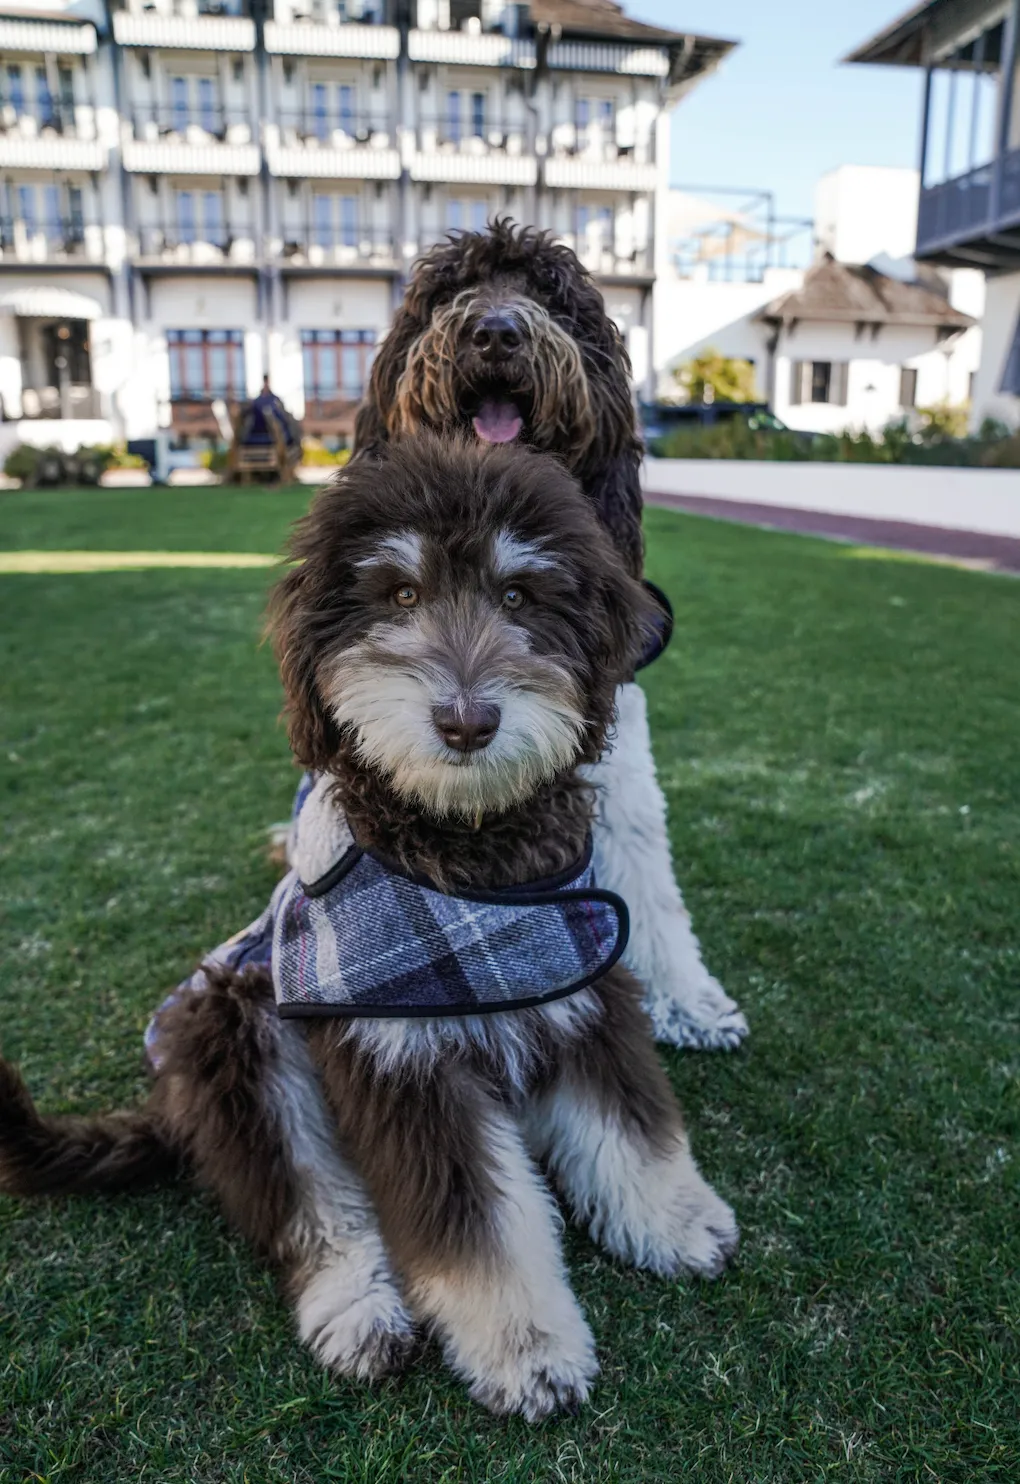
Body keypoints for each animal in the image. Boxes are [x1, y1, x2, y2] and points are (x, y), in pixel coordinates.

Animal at [0, 433, 739, 1418]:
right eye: (400, 595)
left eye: (518, 596)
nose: (467, 721)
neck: (464, 854)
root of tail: (172, 1108)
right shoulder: (402, 1059)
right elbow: (478, 1230)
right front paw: (527, 1349)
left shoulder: (584, 999)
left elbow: (629, 1130)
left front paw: (675, 1219)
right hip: (243, 1041)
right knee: (316, 1212)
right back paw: (361, 1314)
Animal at [347, 219, 745, 1056]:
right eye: (450, 291)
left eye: (552, 299)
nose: (497, 330)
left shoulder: (613, 754)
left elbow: (647, 872)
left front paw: (687, 1000)